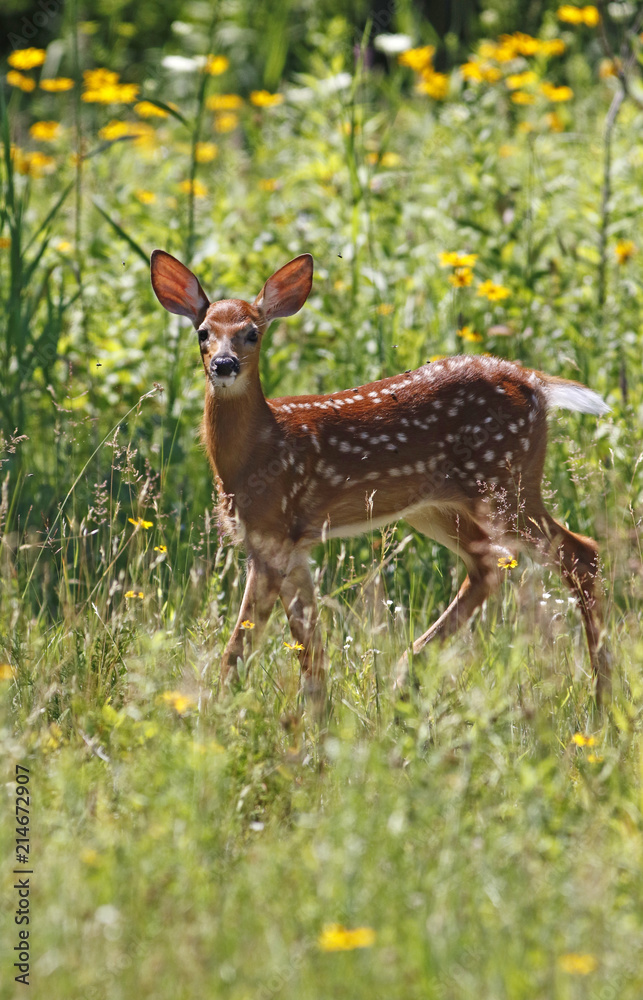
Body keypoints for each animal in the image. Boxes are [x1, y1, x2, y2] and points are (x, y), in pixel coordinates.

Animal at [150, 250, 611, 707]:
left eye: (252, 333)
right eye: (203, 332)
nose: (223, 364)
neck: (256, 452)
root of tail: (536, 382)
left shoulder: (271, 535)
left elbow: (239, 645)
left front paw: (213, 710)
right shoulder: (293, 547)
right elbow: (311, 652)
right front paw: (315, 717)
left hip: (505, 482)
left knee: (580, 554)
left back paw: (601, 697)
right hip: (437, 504)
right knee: (489, 562)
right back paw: (408, 669)